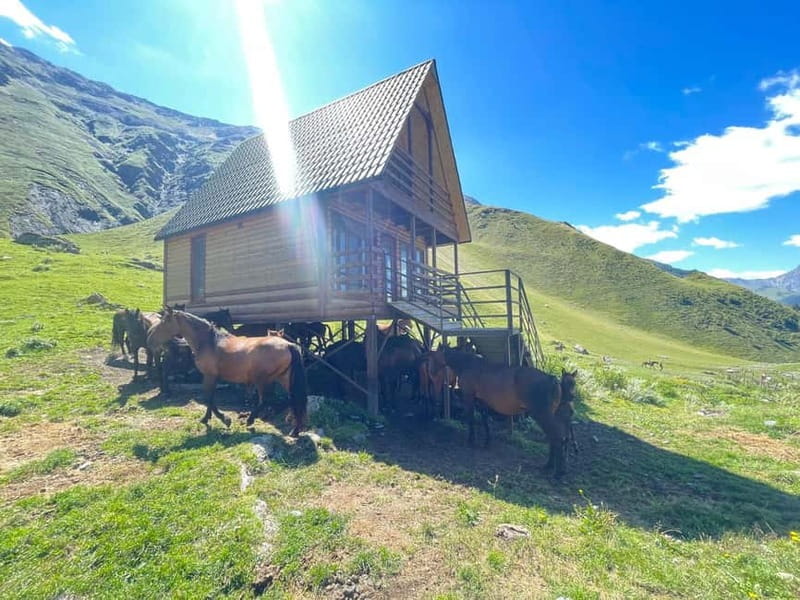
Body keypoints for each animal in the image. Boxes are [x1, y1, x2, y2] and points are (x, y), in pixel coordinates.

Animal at [147, 308, 308, 435]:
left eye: (165, 322)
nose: (150, 339)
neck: (209, 342)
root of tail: (288, 345)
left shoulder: (210, 375)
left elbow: (208, 398)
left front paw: (224, 419)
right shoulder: (211, 377)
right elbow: (210, 398)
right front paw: (206, 418)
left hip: (263, 380)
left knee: (267, 400)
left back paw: (251, 420)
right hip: (283, 378)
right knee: (293, 398)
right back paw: (295, 430)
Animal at [429, 347, 570, 477]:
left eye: (433, 358)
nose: (431, 373)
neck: (468, 364)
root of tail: (552, 379)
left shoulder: (469, 397)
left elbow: (471, 419)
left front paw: (471, 440)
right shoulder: (482, 401)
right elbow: (485, 421)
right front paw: (487, 442)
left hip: (542, 415)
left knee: (556, 438)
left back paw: (558, 472)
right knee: (553, 437)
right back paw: (550, 466)